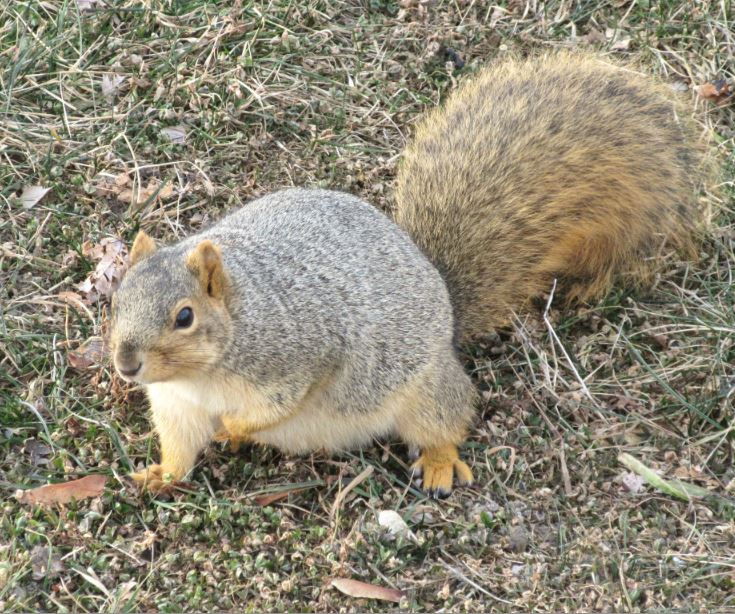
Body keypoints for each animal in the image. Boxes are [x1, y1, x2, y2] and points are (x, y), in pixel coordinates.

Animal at [109, 51, 709, 497]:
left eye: (184, 316)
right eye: (116, 300)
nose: (126, 365)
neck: (202, 375)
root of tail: (442, 299)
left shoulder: (299, 355)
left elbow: (277, 405)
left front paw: (234, 428)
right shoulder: (176, 408)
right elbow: (180, 449)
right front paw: (159, 474)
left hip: (425, 389)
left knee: (448, 418)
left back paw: (440, 463)